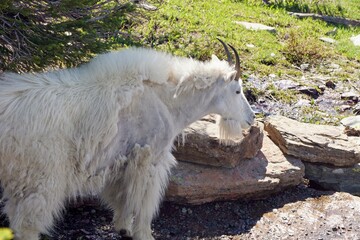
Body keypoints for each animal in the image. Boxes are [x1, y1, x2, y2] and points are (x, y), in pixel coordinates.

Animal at [0, 39, 255, 240]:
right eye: (237, 90)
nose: (251, 118)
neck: (167, 101)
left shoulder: (122, 162)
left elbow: (122, 198)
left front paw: (123, 228)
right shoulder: (150, 160)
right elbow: (143, 204)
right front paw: (144, 234)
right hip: (40, 176)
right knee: (27, 224)